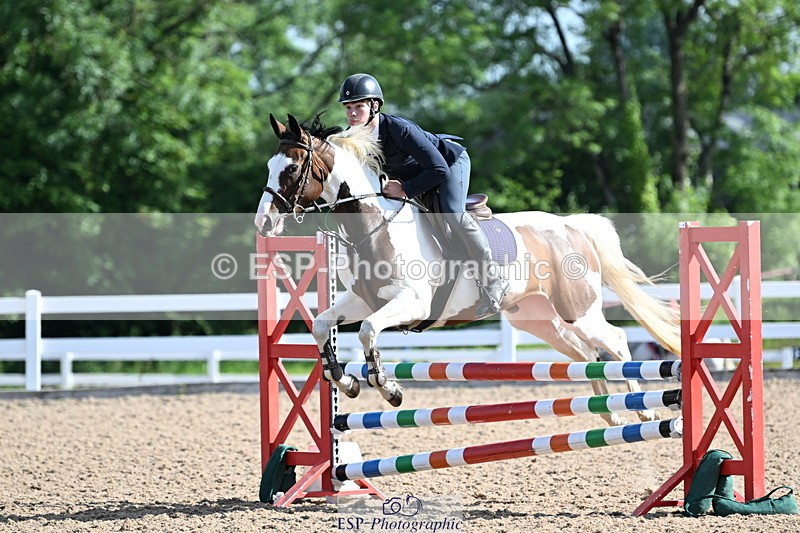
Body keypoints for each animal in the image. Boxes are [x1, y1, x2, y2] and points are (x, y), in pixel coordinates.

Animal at [255, 113, 681, 426]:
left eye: (292, 169)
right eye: (269, 166)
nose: (264, 223)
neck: (372, 226)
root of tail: (571, 227)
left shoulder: (412, 303)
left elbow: (368, 331)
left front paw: (387, 387)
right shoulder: (362, 299)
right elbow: (322, 325)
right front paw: (345, 380)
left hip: (580, 310)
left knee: (616, 341)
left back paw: (641, 408)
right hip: (538, 318)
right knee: (585, 352)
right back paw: (609, 412)